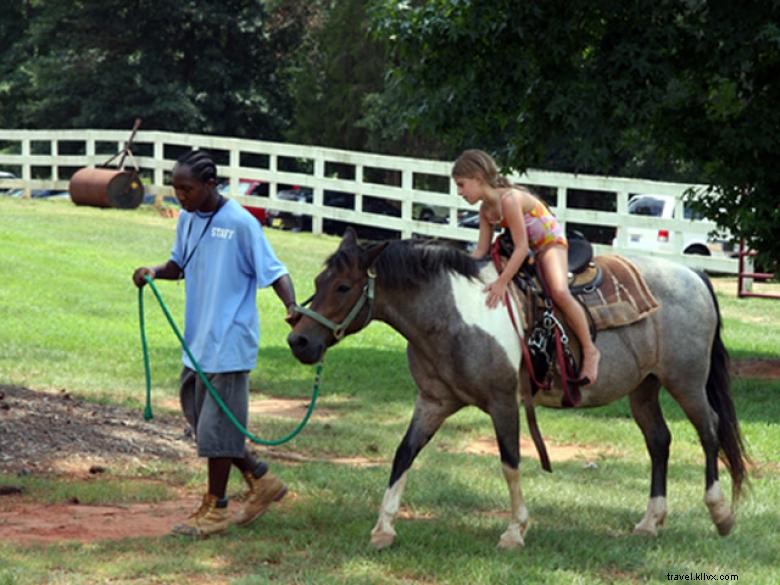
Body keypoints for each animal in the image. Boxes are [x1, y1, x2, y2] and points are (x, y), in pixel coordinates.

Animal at [286, 228, 748, 548]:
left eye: (343, 287)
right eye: (319, 281)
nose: (300, 341)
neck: (451, 314)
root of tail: (693, 274)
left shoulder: (502, 401)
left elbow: (510, 461)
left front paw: (515, 531)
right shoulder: (434, 401)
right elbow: (404, 454)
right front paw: (383, 528)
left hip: (685, 381)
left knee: (709, 429)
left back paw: (721, 514)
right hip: (644, 388)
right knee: (659, 441)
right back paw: (651, 521)